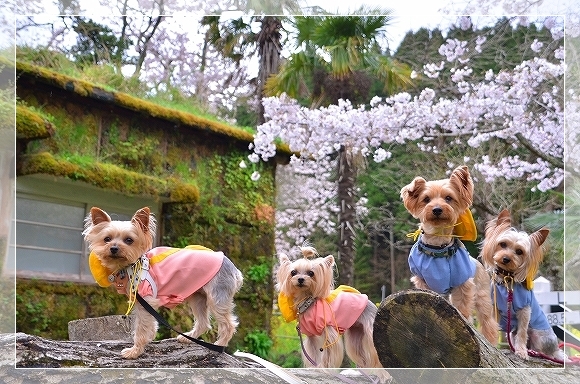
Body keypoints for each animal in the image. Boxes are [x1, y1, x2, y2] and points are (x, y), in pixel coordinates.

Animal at [84, 206, 242, 358]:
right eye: (107, 239)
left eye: (129, 240)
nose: (114, 248)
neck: (131, 266)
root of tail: (234, 269)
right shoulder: (148, 303)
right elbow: (151, 323)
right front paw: (149, 338)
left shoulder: (146, 300)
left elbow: (141, 328)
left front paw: (134, 352)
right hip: (198, 296)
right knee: (203, 322)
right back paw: (188, 337)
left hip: (217, 296)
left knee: (228, 324)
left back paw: (219, 344)